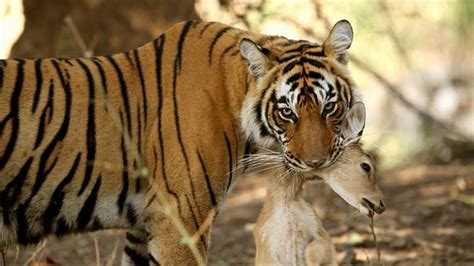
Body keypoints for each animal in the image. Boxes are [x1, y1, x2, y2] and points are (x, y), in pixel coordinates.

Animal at [0, 19, 364, 264]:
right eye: (287, 112)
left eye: (329, 106)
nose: (316, 163)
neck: (234, 91)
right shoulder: (181, 220)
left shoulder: (143, 227)